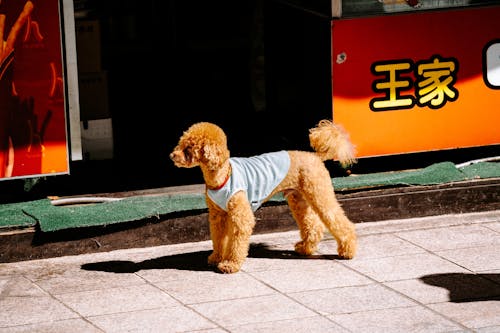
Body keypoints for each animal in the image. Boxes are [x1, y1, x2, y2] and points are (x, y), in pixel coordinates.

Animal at [170, 119, 358, 272]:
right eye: (181, 143)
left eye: (189, 147)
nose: (172, 155)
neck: (223, 175)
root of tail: (316, 156)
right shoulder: (218, 216)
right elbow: (218, 238)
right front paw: (216, 258)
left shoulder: (240, 216)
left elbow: (237, 242)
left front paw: (230, 264)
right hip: (299, 199)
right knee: (313, 226)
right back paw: (305, 248)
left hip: (319, 193)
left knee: (338, 221)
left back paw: (347, 251)